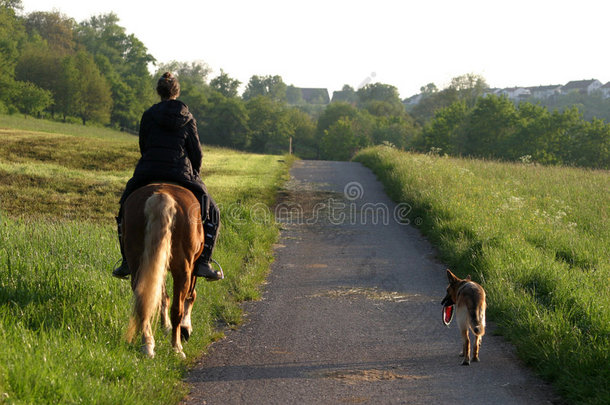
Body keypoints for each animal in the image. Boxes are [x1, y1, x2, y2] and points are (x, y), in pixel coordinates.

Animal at [121, 183, 202, 356]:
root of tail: (161, 195)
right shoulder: (191, 266)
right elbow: (190, 295)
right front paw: (185, 328)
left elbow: (162, 297)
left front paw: (166, 327)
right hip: (183, 269)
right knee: (177, 308)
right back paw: (177, 347)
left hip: (138, 263)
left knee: (143, 300)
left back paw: (147, 344)